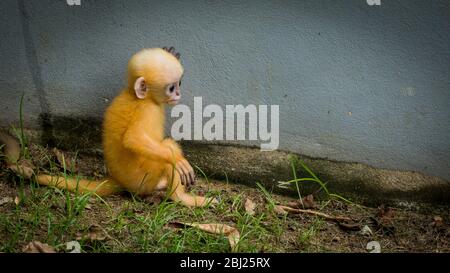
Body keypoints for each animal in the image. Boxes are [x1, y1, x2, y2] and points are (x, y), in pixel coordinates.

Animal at [1, 46, 216, 207]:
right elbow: (133, 138)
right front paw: (176, 159)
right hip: (144, 179)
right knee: (168, 149)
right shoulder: (146, 110)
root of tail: (119, 180)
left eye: (179, 83)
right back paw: (183, 198)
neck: (138, 97)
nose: (178, 94)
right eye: (172, 87)